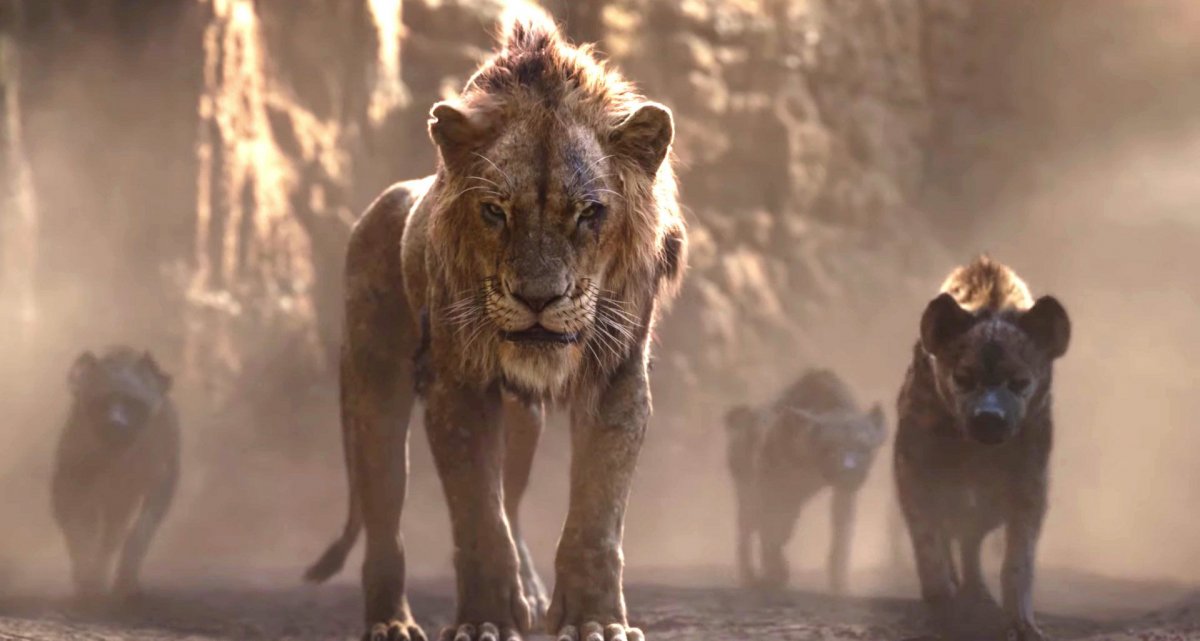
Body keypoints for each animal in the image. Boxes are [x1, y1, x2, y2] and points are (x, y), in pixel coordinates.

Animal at [52, 346, 179, 603]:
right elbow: (78, 531)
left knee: (113, 537)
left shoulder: (158, 483)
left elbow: (139, 532)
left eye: (133, 403)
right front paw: (87, 580)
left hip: (121, 502)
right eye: (102, 401)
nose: (116, 424)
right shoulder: (68, 481)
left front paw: (125, 583)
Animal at [304, 7, 686, 641]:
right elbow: (478, 516)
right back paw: (390, 622)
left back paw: (529, 592)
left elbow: (595, 515)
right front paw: (484, 621)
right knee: (386, 518)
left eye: (589, 213)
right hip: (374, 390)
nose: (537, 298)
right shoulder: (457, 384)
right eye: (495, 211)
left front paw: (593, 620)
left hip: (522, 421)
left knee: (511, 497)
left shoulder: (618, 378)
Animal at [895, 256, 1070, 641]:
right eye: (963, 378)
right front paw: (941, 602)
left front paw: (1021, 624)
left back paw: (977, 593)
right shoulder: (915, 465)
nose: (990, 417)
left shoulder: (1029, 477)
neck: (975, 453)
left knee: (971, 538)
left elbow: (1019, 557)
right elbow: (927, 537)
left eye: (1019, 382)